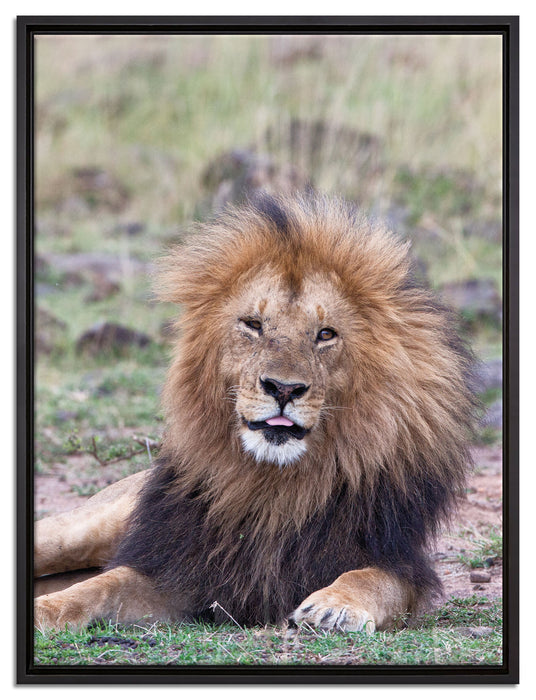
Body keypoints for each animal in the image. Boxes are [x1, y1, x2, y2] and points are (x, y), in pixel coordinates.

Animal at [34, 193, 475, 633]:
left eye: (325, 334)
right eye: (253, 324)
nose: (284, 388)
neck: (270, 486)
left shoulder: (400, 561)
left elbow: (372, 578)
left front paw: (335, 606)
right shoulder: (180, 565)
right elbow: (101, 585)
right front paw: (46, 610)